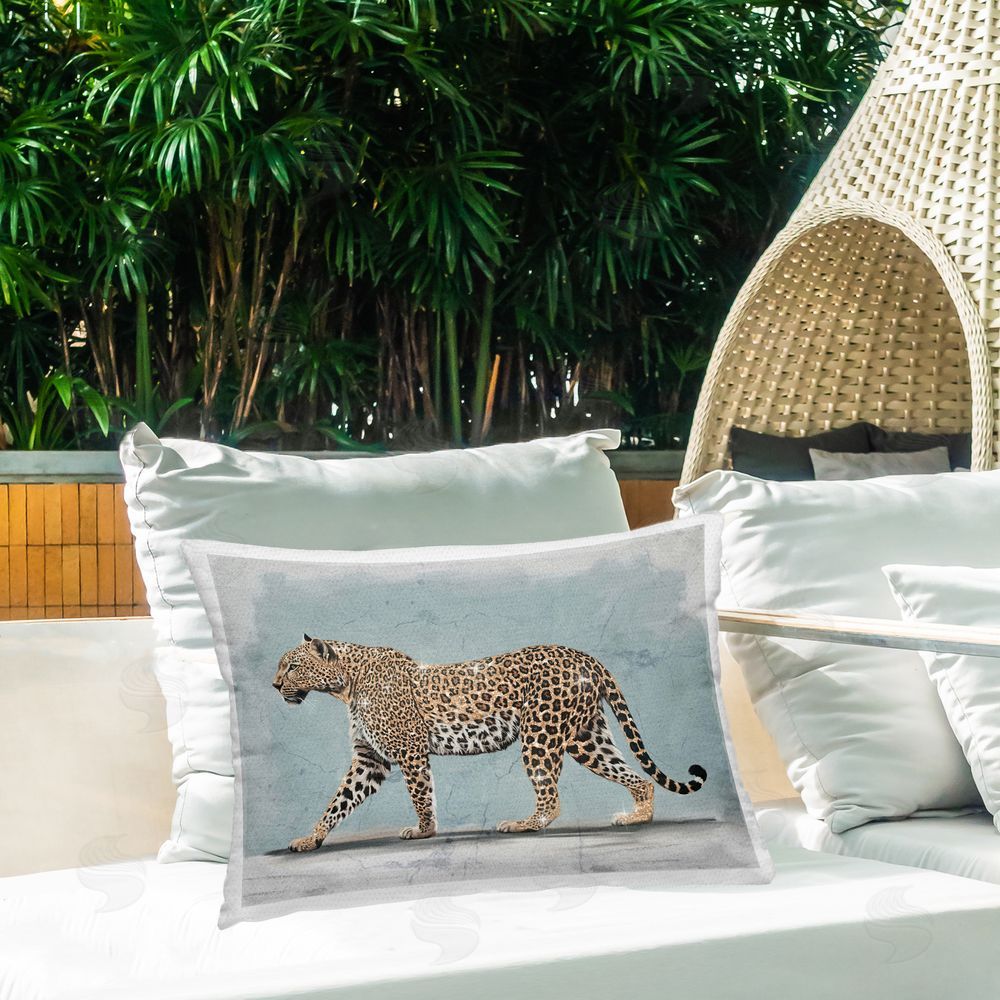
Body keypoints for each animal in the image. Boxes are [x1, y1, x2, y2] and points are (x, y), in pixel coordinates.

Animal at [273, 635, 707, 852]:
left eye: (292, 666)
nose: (275, 685)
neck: (346, 684)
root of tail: (584, 656)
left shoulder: (409, 751)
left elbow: (421, 795)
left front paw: (425, 831)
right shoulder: (370, 760)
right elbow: (338, 801)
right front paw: (311, 838)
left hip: (541, 736)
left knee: (551, 798)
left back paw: (521, 824)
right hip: (587, 738)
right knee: (638, 778)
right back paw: (636, 817)